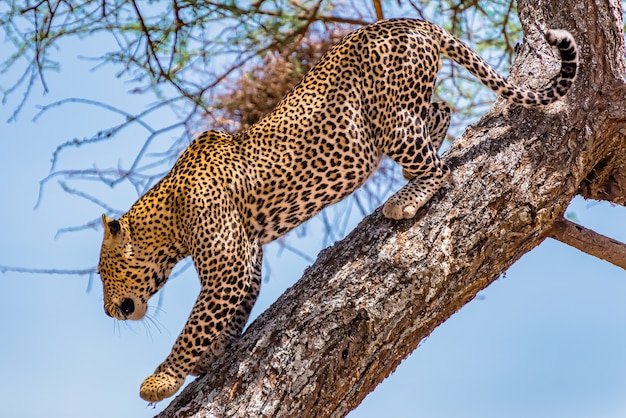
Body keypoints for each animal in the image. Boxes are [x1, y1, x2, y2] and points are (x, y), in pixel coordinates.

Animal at [95, 18, 576, 404]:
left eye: (102, 274)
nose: (106, 312)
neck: (168, 218)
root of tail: (411, 21)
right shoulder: (247, 258)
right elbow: (232, 312)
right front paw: (215, 353)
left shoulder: (228, 264)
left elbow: (195, 324)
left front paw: (161, 379)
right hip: (406, 108)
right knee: (441, 109)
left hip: (389, 118)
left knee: (437, 166)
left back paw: (407, 197)